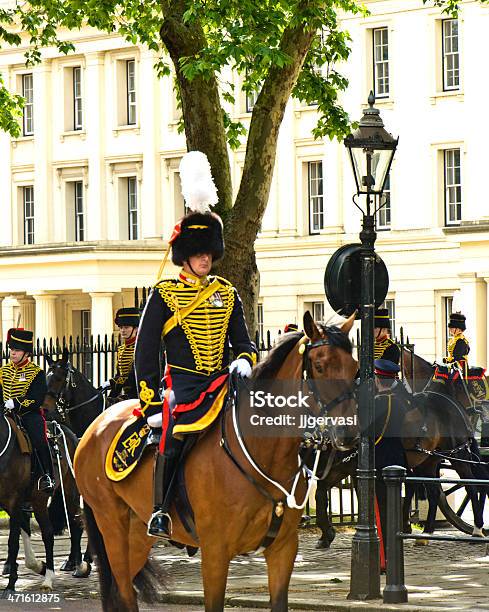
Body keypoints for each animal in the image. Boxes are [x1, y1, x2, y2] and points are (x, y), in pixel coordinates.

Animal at [75, 314, 358, 608]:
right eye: (320, 366)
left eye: (356, 369)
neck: (265, 454)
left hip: (137, 533)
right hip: (112, 525)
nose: (349, 433)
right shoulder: (215, 552)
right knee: (123, 592)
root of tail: (95, 425)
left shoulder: (283, 549)